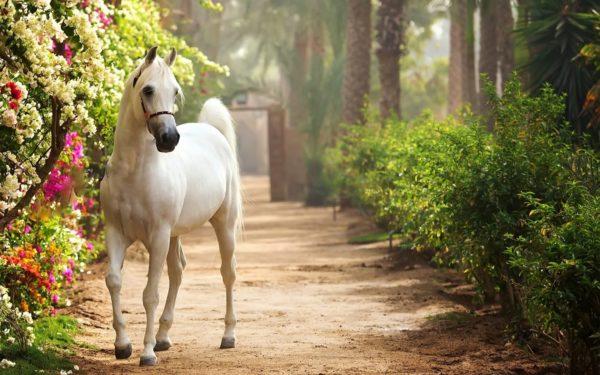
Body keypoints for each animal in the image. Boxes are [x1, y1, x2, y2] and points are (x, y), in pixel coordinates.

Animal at [100, 47, 241, 368]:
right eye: (148, 90)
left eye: (175, 91)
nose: (169, 139)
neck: (135, 172)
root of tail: (211, 131)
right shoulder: (116, 233)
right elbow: (114, 281)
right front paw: (122, 345)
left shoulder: (158, 236)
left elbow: (150, 294)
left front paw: (146, 353)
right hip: (175, 235)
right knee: (178, 272)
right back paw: (164, 337)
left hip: (223, 225)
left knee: (227, 273)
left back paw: (228, 336)